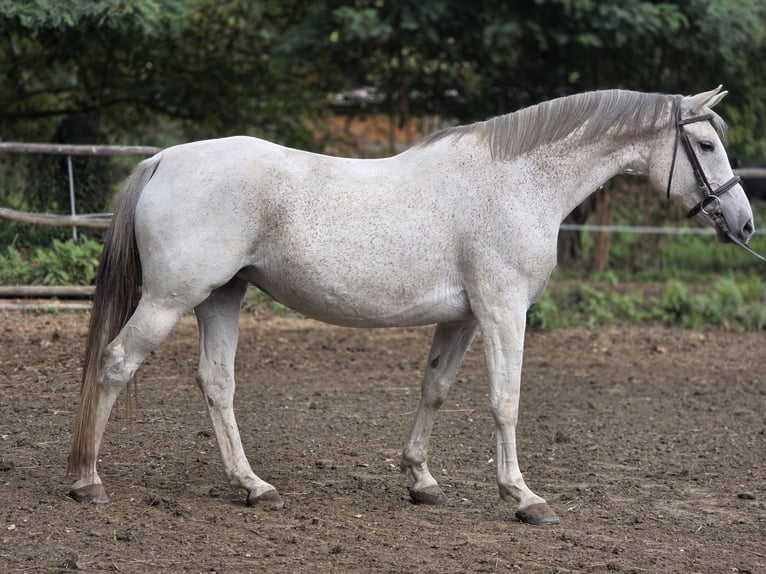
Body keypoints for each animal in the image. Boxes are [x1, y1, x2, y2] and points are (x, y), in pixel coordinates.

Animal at [67, 86, 755, 526]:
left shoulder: (464, 317)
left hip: (220, 299)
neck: (519, 181)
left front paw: (422, 481)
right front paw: (524, 498)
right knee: (116, 364)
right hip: (170, 299)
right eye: (706, 146)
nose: (745, 224)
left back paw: (254, 487)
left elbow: (435, 390)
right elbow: (505, 401)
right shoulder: (503, 311)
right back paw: (88, 482)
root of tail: (163, 160)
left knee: (216, 383)